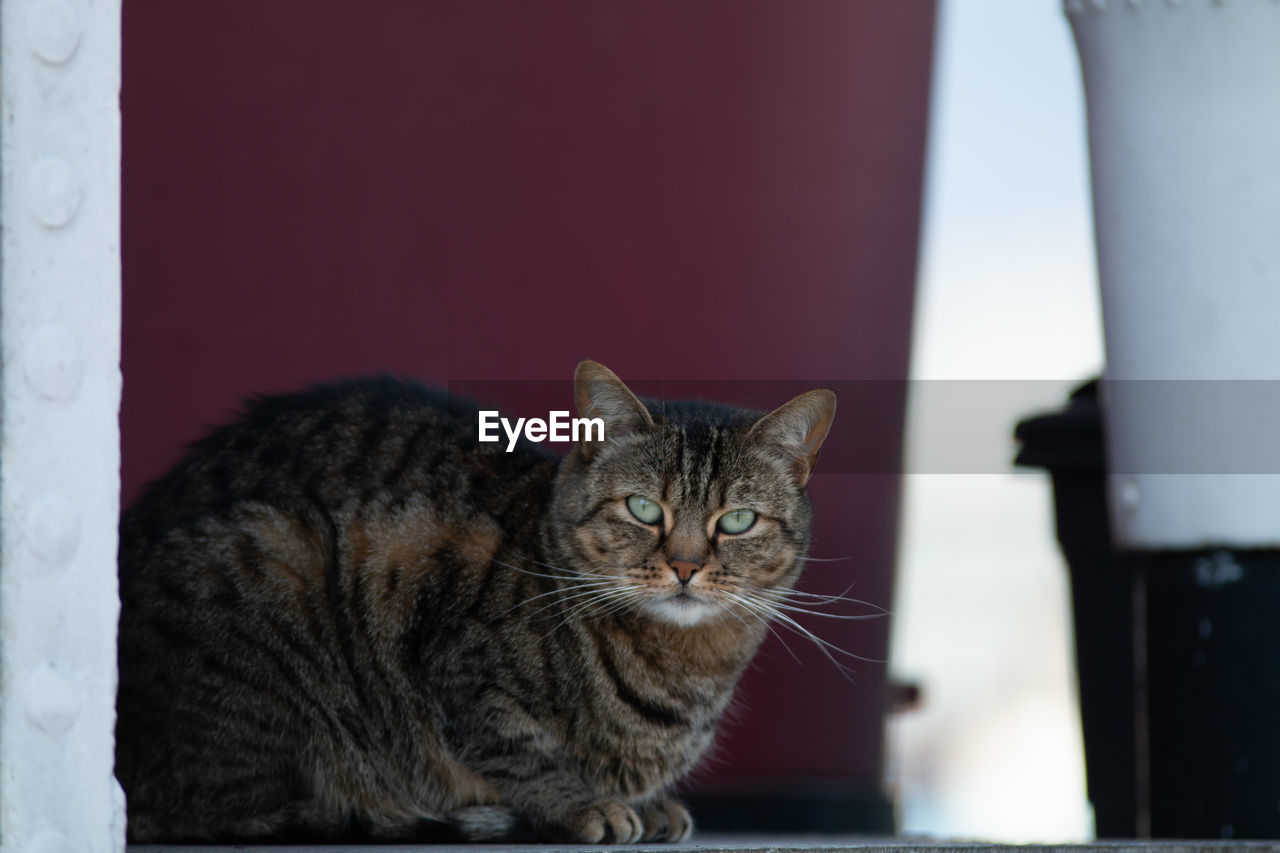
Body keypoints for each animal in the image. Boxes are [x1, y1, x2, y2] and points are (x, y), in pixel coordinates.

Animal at [117, 356, 839, 835]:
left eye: (737, 520)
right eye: (642, 508)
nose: (686, 565)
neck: (684, 667)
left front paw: (644, 805)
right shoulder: (462, 662)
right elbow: (518, 750)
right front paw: (583, 804)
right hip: (273, 557)